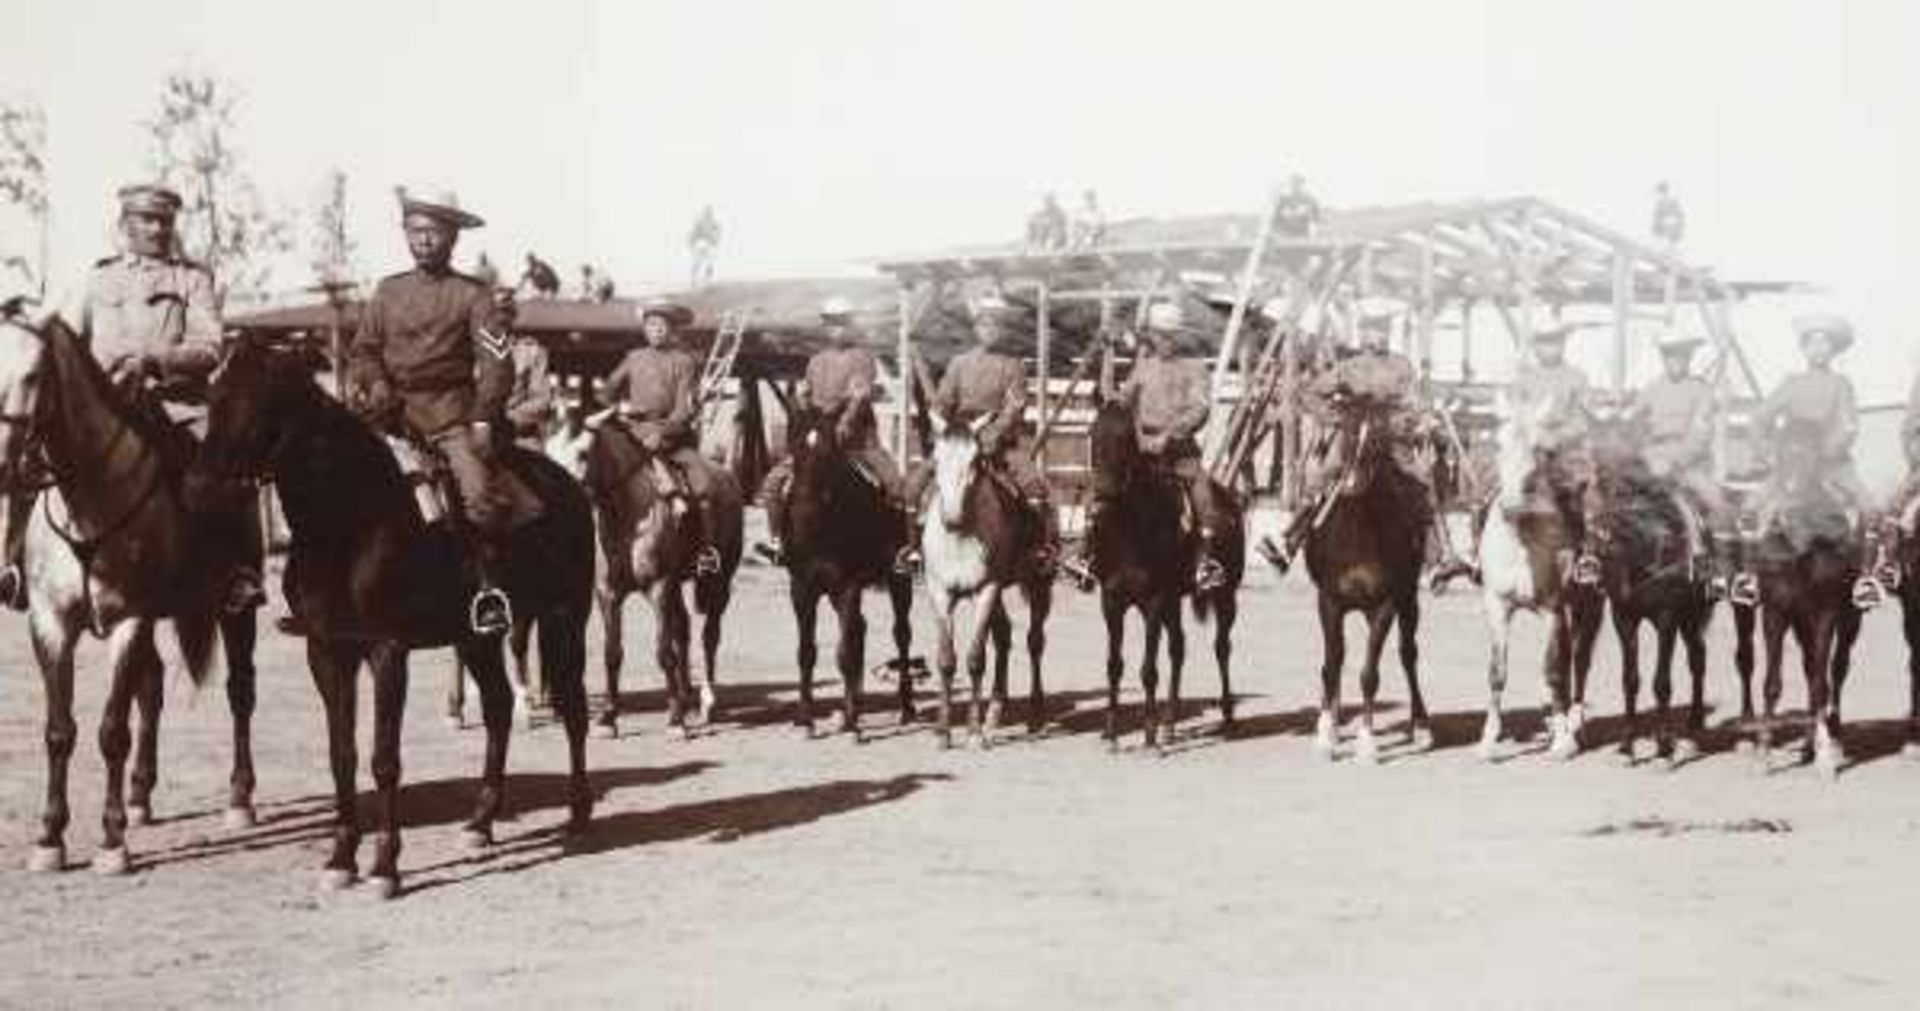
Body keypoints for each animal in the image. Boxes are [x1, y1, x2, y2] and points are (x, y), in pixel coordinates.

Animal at [192, 343, 599, 897]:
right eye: (214, 396)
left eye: (261, 402)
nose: (198, 485)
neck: (349, 524)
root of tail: (567, 485)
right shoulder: (327, 651)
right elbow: (342, 755)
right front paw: (341, 859)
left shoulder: (388, 650)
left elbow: (384, 759)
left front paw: (386, 866)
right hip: (477, 640)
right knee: (497, 709)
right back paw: (481, 823)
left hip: (564, 620)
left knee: (574, 711)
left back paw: (578, 814)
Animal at [1090, 399, 1236, 755]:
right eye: (1092, 433)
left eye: (1125, 438)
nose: (1101, 496)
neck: (1131, 529)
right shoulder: (1112, 602)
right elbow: (1114, 666)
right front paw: (1112, 734)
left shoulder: (1153, 601)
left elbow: (1148, 669)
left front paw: (1149, 736)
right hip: (1173, 602)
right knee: (1178, 650)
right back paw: (1170, 725)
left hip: (1226, 596)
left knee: (1222, 647)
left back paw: (1226, 716)